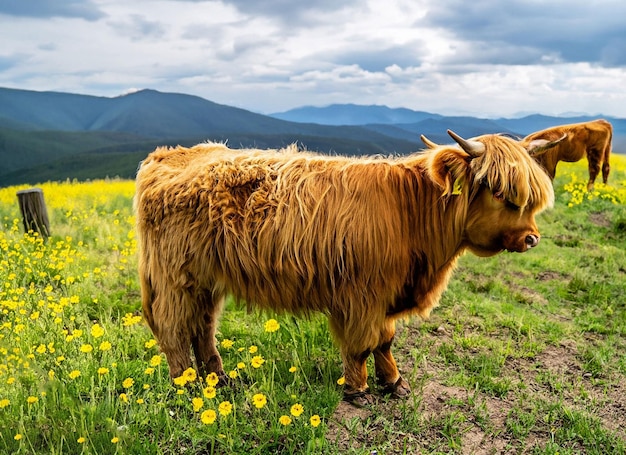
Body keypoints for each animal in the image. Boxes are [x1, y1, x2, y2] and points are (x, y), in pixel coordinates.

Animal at [134, 131, 552, 406]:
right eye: (499, 191)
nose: (531, 238)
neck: (412, 213)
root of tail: (168, 154)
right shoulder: (363, 294)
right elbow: (363, 344)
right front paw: (358, 390)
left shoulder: (387, 294)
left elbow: (385, 340)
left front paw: (395, 383)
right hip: (175, 277)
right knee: (174, 328)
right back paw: (186, 387)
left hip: (206, 279)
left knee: (203, 326)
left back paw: (218, 379)